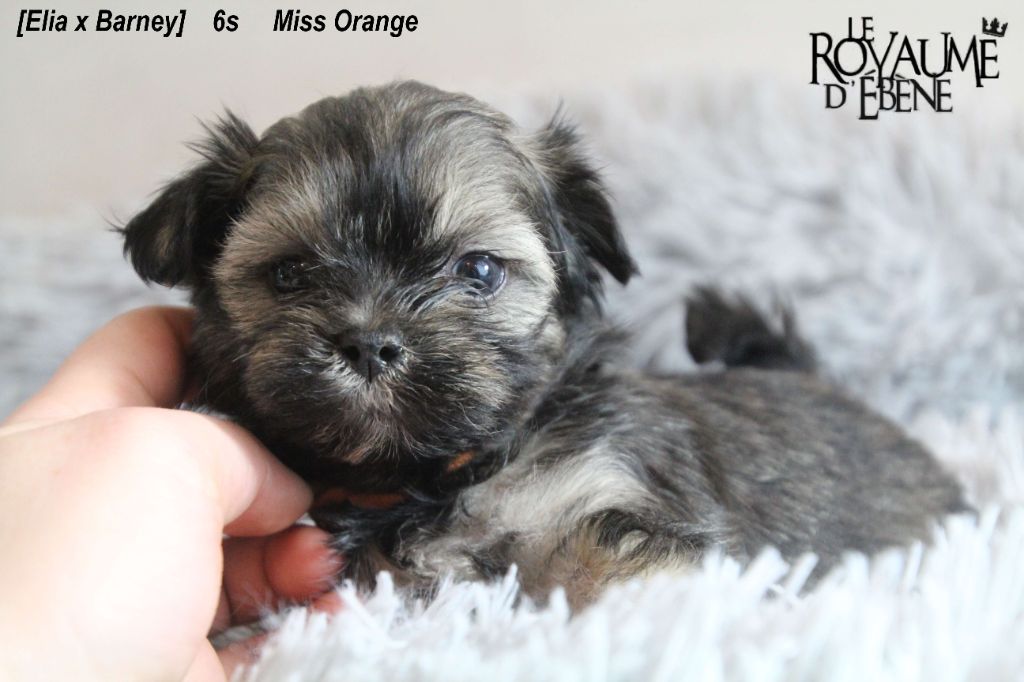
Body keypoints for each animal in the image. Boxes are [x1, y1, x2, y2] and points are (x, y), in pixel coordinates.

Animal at [120, 81, 968, 609]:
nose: (370, 343)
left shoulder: (616, 504)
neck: (450, 475)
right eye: (291, 274)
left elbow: (615, 577)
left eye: (480, 270)